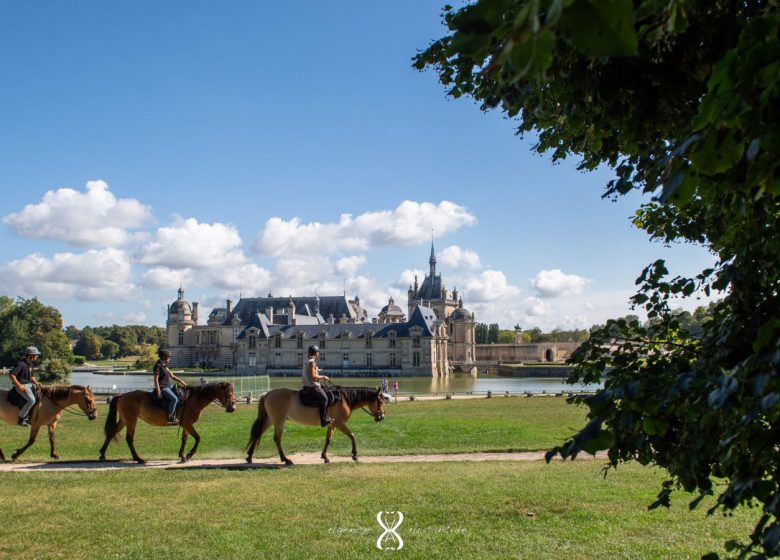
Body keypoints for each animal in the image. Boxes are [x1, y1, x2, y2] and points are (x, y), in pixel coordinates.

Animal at [99, 380, 236, 464]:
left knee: (111, 433)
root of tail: (122, 395)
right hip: (131, 420)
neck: (193, 399)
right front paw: (189, 454)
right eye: (229, 394)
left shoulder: (186, 424)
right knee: (129, 439)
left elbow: (184, 439)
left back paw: (102, 454)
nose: (233, 408)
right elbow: (197, 438)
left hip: (124, 420)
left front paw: (182, 456)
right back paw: (137, 458)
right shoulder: (188, 424)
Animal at [245, 382, 386, 466]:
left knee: (258, 434)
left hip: (270, 420)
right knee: (277, 439)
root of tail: (268, 393)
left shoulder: (332, 425)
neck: (344, 399)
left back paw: (250, 456)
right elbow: (352, 435)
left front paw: (325, 457)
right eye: (380, 401)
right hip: (279, 421)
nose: (381, 416)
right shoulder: (339, 423)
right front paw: (354, 455)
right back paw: (285, 459)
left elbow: (328, 439)